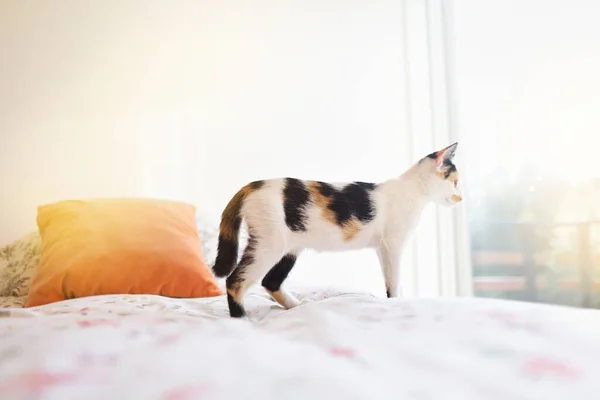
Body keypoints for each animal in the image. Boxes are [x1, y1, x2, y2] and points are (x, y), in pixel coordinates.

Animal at [213, 142, 462, 318]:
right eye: (456, 182)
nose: (460, 198)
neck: (412, 190)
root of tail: (252, 186)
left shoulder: (382, 249)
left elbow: (390, 280)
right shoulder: (393, 245)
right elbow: (394, 282)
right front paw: (397, 303)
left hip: (289, 248)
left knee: (270, 282)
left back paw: (297, 306)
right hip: (269, 245)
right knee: (235, 281)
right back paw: (241, 319)